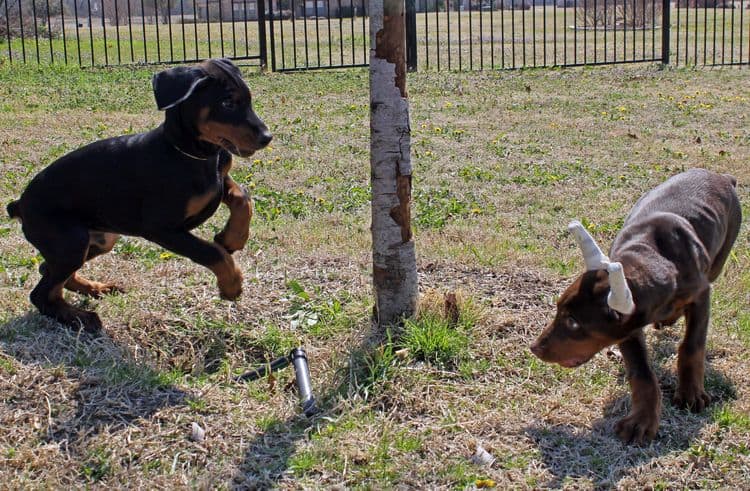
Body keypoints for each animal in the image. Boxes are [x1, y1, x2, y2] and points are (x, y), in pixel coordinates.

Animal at [5, 58, 272, 334]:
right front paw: (232, 284)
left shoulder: (221, 180)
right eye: (227, 103)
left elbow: (243, 198)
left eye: (249, 99)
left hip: (99, 240)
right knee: (41, 293)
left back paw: (96, 289)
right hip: (70, 242)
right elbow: (211, 252)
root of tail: (20, 205)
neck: (190, 154)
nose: (267, 137)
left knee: (47, 270)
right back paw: (80, 318)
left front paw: (232, 238)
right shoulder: (160, 228)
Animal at [532, 169, 744, 446]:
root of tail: (721, 176)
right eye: (558, 309)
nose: (535, 348)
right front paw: (641, 421)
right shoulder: (627, 328)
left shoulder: (701, 295)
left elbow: (692, 345)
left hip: (721, 254)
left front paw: (691, 394)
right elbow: (641, 372)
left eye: (573, 322)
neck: (649, 254)